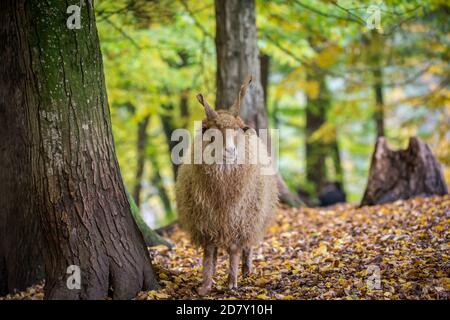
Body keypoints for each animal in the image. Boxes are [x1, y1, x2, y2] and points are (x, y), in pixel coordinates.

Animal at [175, 75, 278, 296]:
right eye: (209, 131)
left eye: (240, 130)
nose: (229, 151)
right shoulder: (205, 221)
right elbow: (208, 252)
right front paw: (205, 285)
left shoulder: (240, 219)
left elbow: (234, 250)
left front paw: (232, 283)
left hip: (254, 217)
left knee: (248, 247)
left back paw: (246, 270)